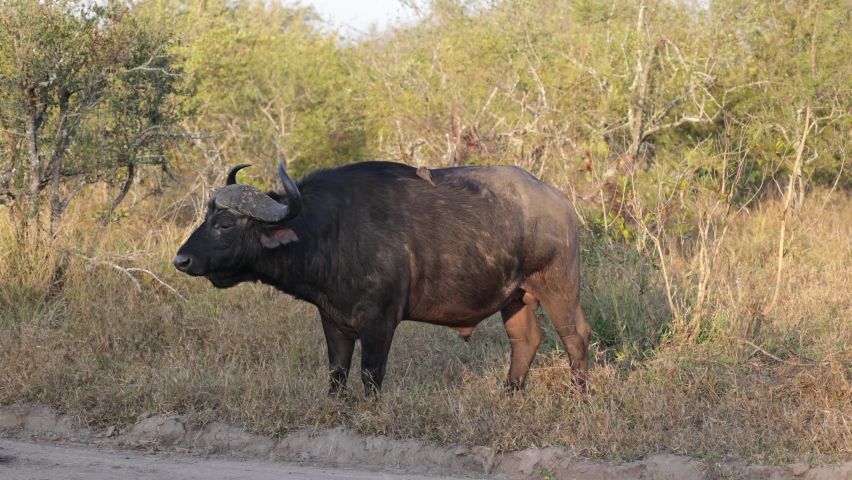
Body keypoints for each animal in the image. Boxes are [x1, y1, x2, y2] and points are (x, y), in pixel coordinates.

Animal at [174, 162, 590, 396]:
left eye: (224, 224)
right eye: (207, 218)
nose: (181, 259)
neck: (330, 232)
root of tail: (561, 203)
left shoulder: (380, 319)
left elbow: (371, 373)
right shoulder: (333, 318)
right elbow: (337, 371)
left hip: (559, 286)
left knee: (575, 336)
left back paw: (580, 394)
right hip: (514, 297)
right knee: (526, 339)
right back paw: (509, 394)